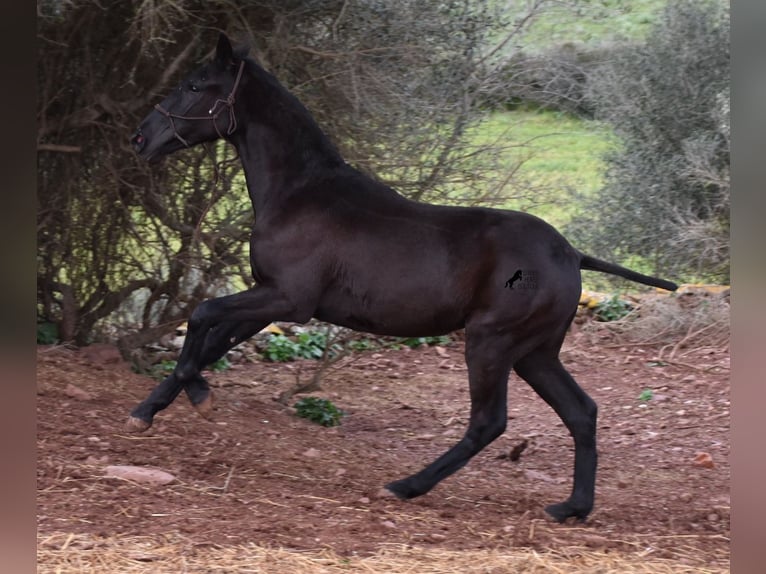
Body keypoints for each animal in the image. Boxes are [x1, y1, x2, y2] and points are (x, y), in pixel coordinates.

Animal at [129, 33, 680, 524]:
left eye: (196, 85)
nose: (139, 138)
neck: (299, 192)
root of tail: (572, 255)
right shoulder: (270, 301)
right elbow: (211, 341)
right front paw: (146, 412)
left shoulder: (287, 299)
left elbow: (202, 315)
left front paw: (198, 399)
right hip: (535, 352)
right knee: (581, 411)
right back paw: (572, 508)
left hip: (492, 343)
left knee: (489, 422)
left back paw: (406, 485)